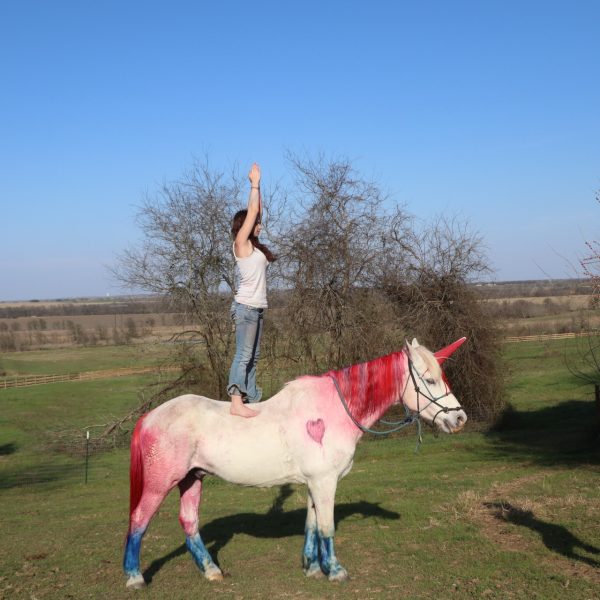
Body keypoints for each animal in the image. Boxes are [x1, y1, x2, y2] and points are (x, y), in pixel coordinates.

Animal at [123, 336, 468, 588]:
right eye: (429, 380)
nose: (459, 419)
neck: (332, 413)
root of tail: (150, 416)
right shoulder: (325, 482)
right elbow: (327, 526)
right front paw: (336, 571)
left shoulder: (315, 483)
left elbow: (312, 524)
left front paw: (313, 568)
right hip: (160, 483)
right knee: (139, 520)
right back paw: (135, 577)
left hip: (192, 478)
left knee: (189, 522)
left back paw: (211, 571)